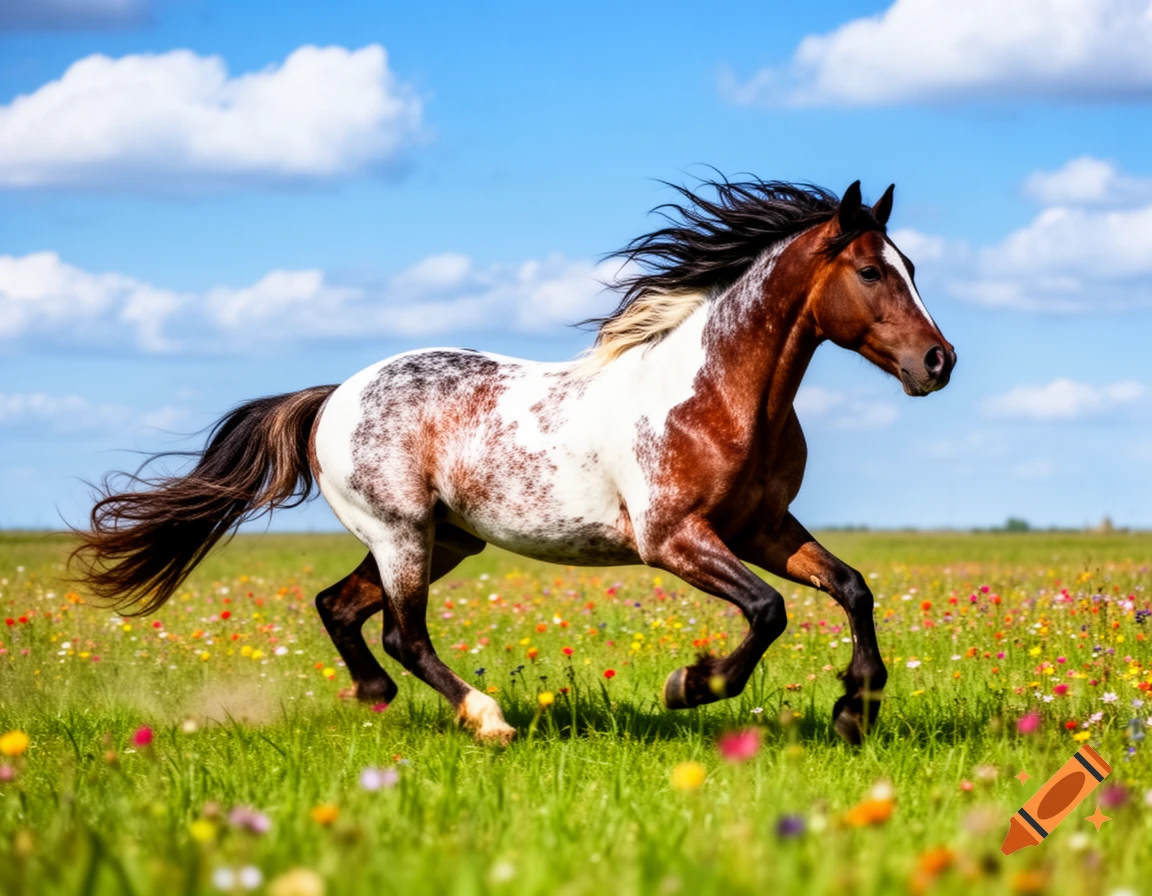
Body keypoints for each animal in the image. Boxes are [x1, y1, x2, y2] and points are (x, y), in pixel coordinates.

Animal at [72, 177, 955, 745]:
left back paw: (374, 697)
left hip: (444, 538)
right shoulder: (671, 538)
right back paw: (487, 719)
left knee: (340, 608)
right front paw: (689, 686)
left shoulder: (762, 526)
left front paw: (855, 711)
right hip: (401, 534)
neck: (719, 396)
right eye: (870, 270)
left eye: (914, 269)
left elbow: (852, 587)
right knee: (402, 633)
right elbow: (768, 612)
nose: (939, 362)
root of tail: (331, 397)